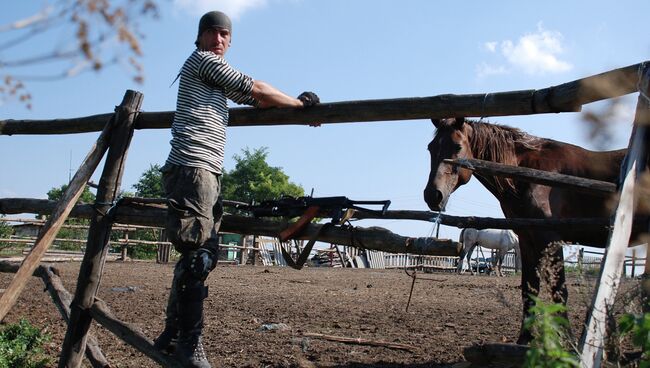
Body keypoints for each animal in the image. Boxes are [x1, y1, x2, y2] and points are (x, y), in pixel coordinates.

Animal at [422, 118, 624, 344]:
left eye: (457, 147)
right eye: (431, 148)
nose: (432, 195)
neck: (532, 175)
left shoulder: (549, 239)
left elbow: (558, 291)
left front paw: (569, 344)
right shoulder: (528, 239)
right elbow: (529, 289)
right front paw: (524, 340)